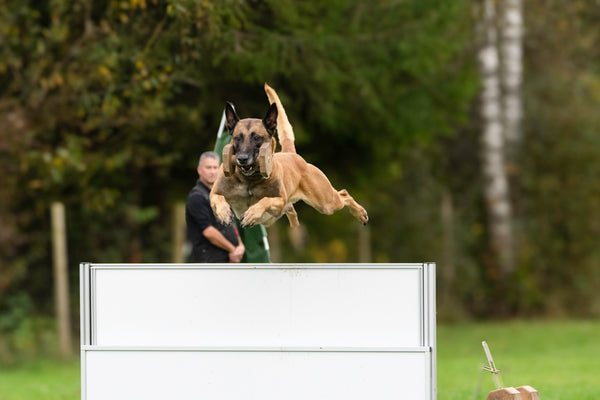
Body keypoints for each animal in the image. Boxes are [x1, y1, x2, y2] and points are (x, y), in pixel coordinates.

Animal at [211, 83, 370, 228]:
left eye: (257, 138)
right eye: (237, 138)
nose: (242, 159)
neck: (249, 180)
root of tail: (290, 153)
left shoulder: (280, 199)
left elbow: (264, 200)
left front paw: (252, 214)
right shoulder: (213, 193)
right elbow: (218, 198)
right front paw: (224, 213)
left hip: (326, 202)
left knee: (344, 194)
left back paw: (360, 213)